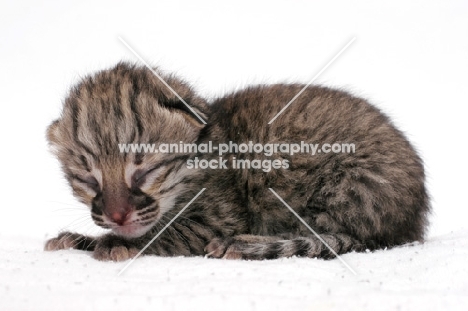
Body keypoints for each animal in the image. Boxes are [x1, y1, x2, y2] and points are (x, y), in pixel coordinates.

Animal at [45, 62, 430, 262]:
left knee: (331, 236)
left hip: (351, 185)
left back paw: (244, 244)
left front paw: (112, 242)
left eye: (144, 172)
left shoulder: (218, 219)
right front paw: (82, 238)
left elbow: (165, 233)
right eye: (88, 180)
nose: (117, 216)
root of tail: (415, 213)